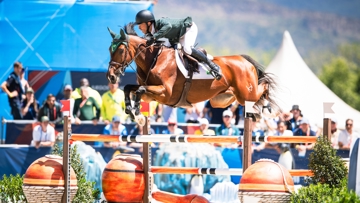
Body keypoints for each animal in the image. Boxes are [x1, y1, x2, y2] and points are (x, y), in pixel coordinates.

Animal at [107, 23, 282, 123]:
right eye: (109, 49)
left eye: (120, 50)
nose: (111, 76)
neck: (154, 59)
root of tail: (244, 60)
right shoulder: (151, 95)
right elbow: (129, 88)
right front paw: (130, 111)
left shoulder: (165, 93)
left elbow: (140, 90)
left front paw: (136, 111)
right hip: (222, 100)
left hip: (246, 94)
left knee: (263, 87)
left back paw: (265, 106)